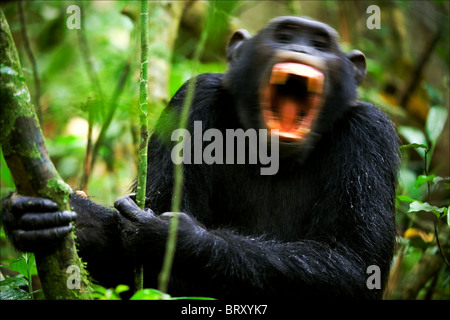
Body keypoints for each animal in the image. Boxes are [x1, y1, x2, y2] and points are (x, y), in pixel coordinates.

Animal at [1, 16, 400, 298]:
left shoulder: (372, 134)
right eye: (284, 36)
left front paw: (175, 237)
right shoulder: (193, 101)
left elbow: (353, 262)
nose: (303, 51)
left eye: (320, 43)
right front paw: (29, 215)